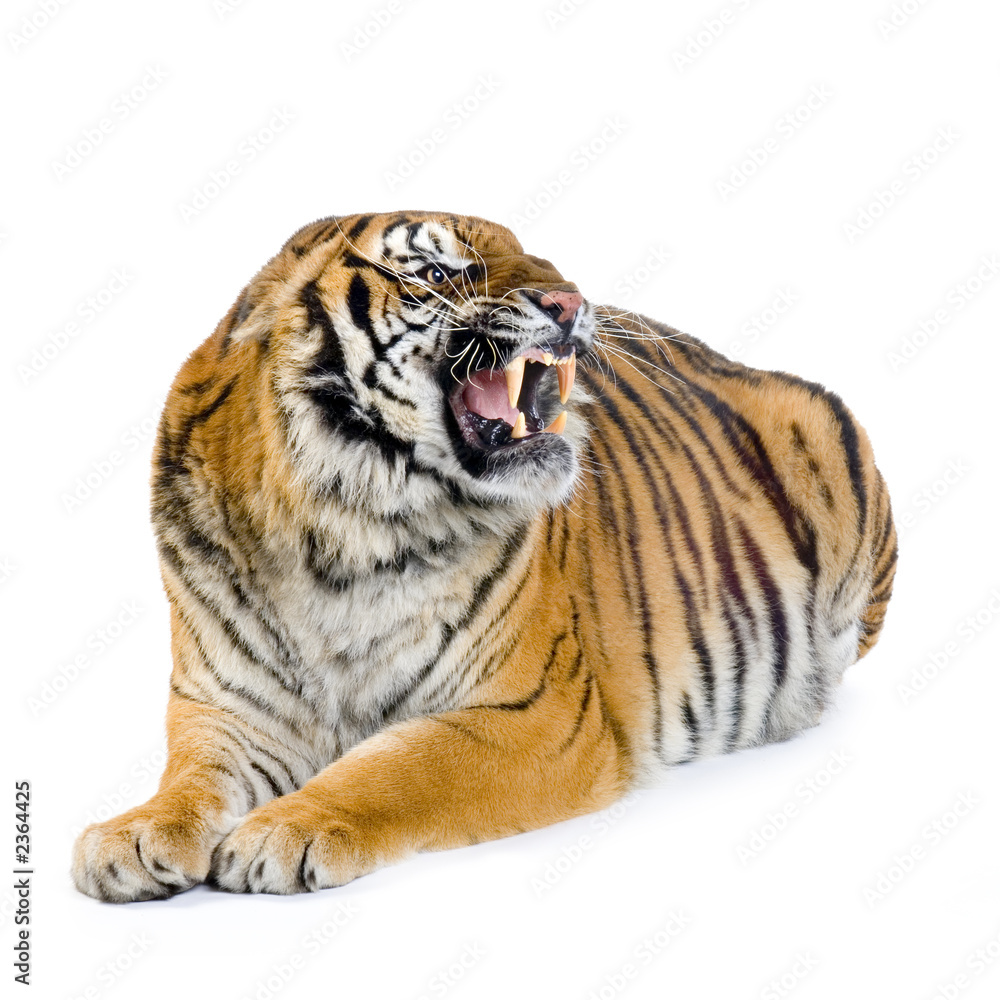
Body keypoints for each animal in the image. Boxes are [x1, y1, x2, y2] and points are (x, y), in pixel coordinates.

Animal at [71, 210, 896, 902]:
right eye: (439, 272)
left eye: (542, 259)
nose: (568, 301)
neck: (335, 534)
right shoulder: (224, 708)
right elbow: (191, 780)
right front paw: (133, 836)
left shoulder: (535, 714)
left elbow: (395, 769)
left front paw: (284, 831)